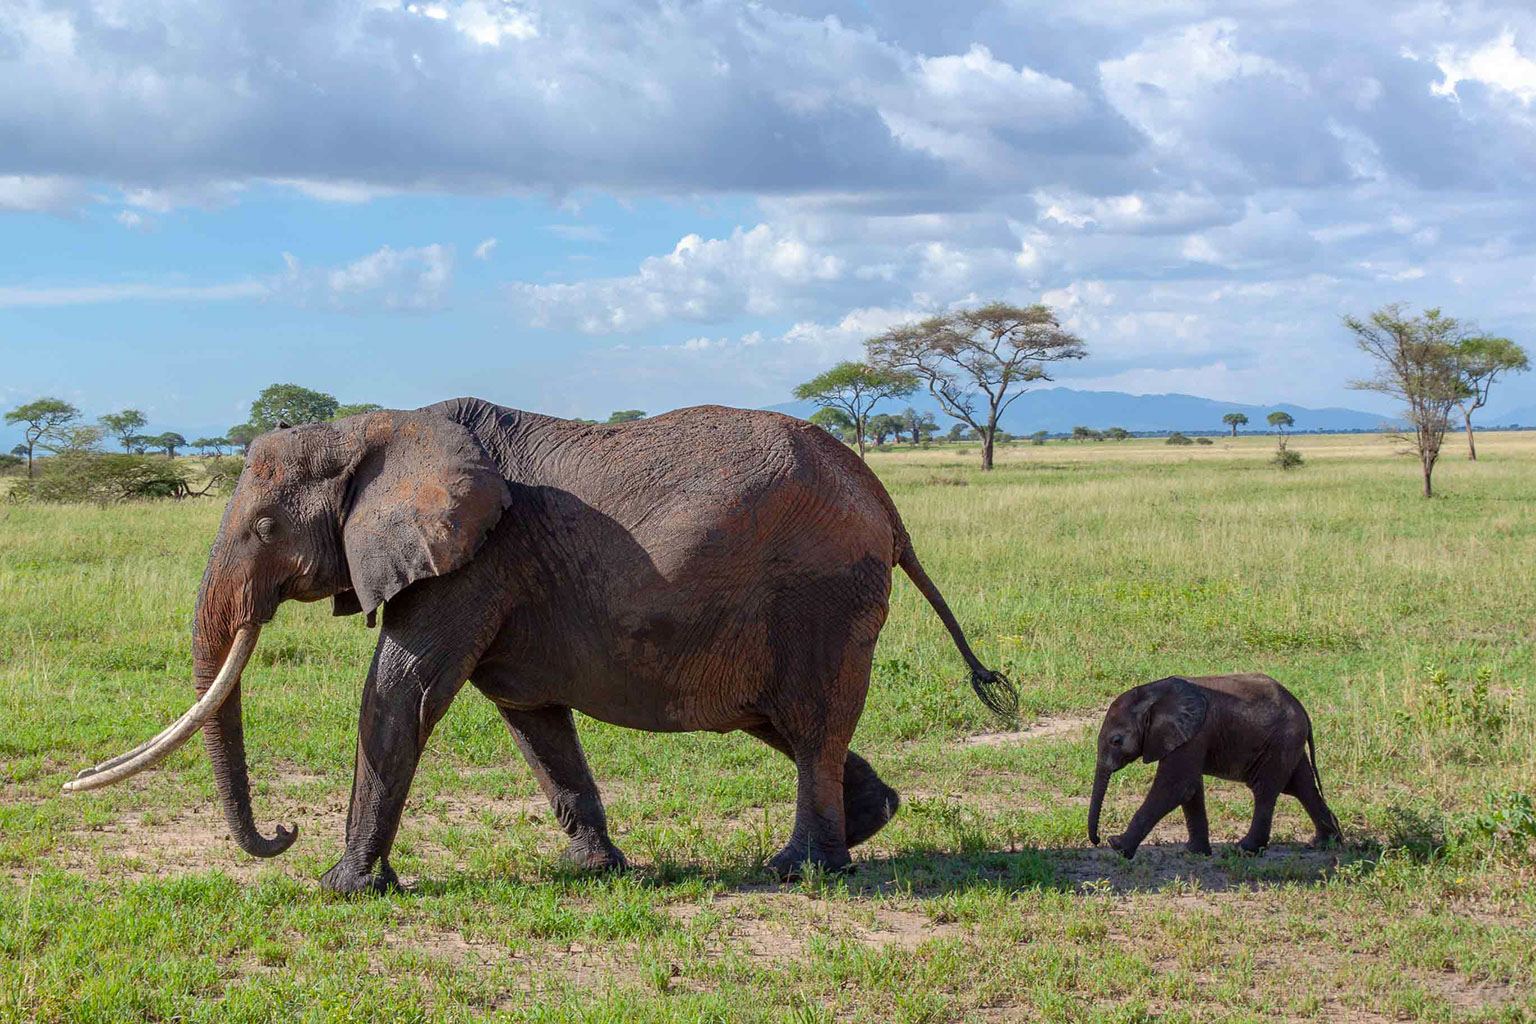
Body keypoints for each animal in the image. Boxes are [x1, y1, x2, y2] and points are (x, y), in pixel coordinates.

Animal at [65, 398, 1015, 893]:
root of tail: (884, 501)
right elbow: (530, 717)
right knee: (786, 722)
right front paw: (595, 871)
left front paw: (344, 889)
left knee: (811, 722)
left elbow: (400, 696)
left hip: (822, 591)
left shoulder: (472, 565)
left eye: (264, 527)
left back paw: (798, 869)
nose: (284, 833)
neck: (377, 425)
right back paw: (871, 822)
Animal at [1086, 674, 1342, 859]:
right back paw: (1324, 843)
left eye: (1116, 741)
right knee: (1302, 786)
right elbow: (1190, 790)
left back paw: (1243, 850)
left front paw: (1117, 846)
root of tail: (1302, 708)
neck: (1153, 693)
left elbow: (1176, 787)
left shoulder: (1194, 735)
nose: (1098, 840)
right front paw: (1194, 853)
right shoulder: (1189, 737)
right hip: (1288, 743)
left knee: (1266, 791)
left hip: (1281, 742)